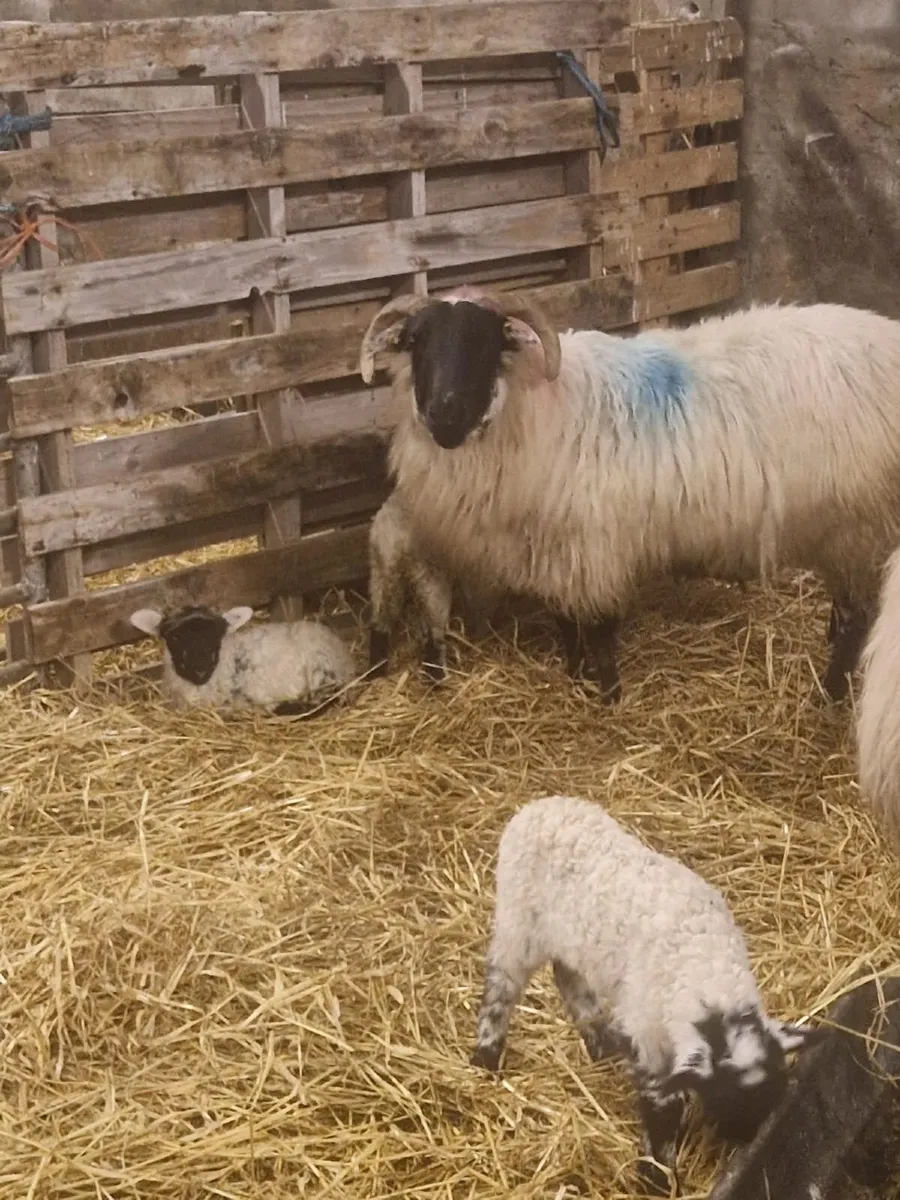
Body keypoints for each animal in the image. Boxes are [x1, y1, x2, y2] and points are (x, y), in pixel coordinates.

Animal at [359, 288, 900, 703]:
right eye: (415, 341)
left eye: (486, 341)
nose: (443, 414)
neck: (533, 407)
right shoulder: (555, 547)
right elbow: (565, 621)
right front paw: (573, 675)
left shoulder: (596, 545)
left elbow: (599, 629)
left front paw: (608, 695)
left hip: (860, 522)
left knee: (858, 617)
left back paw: (828, 694)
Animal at [470, 794, 821, 1195]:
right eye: (724, 1099)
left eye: (773, 1099)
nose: (745, 1146)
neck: (706, 970)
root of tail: (539, 805)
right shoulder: (648, 1035)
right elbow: (660, 1106)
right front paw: (657, 1178)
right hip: (518, 923)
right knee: (501, 984)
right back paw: (486, 1055)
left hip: (568, 939)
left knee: (568, 976)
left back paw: (601, 1044)